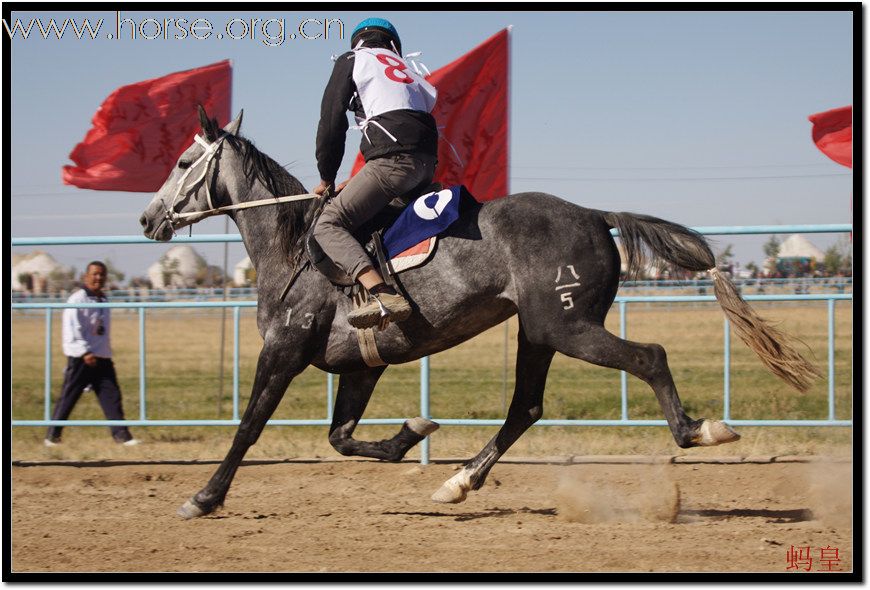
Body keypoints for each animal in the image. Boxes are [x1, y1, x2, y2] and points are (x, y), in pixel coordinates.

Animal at [140, 108, 820, 520]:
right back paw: (459, 481)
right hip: (540, 332)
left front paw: (204, 497)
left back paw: (700, 430)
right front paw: (411, 434)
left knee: (648, 357)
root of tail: (594, 214)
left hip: (567, 327)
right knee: (526, 407)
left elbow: (249, 427)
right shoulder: (362, 367)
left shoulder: (281, 353)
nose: (148, 219)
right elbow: (341, 437)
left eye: (182, 163)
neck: (297, 248)